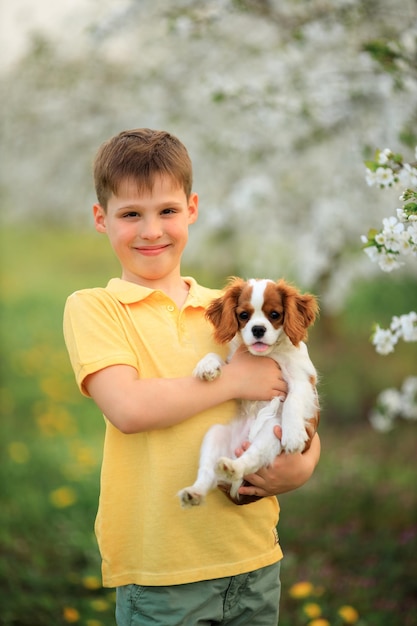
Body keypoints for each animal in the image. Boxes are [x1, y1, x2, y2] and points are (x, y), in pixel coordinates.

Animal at [176, 278, 318, 508]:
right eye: (244, 315)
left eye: (275, 315)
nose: (258, 329)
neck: (267, 353)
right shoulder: (234, 364)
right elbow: (217, 356)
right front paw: (207, 366)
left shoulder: (303, 379)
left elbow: (293, 401)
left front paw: (294, 435)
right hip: (215, 434)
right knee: (207, 473)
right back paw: (195, 491)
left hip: (271, 430)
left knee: (251, 458)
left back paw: (234, 467)